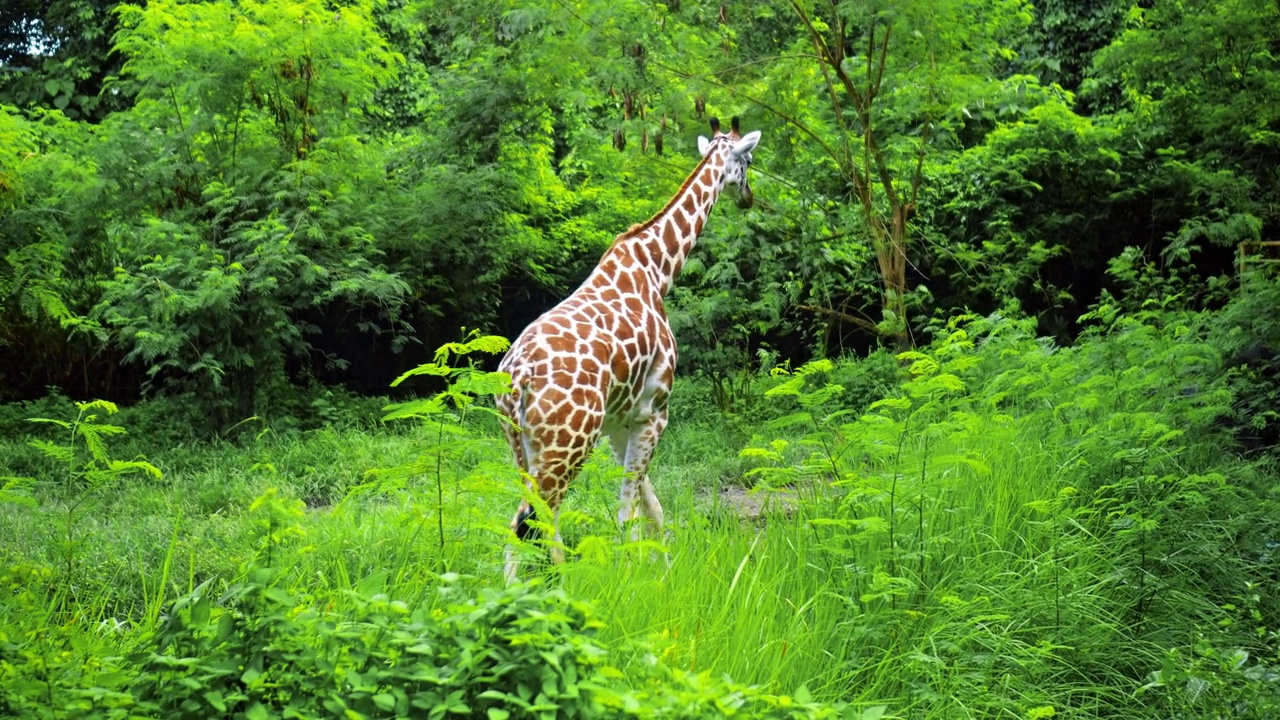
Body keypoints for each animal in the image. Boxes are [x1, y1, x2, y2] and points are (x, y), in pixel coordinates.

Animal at [496, 114, 757, 579]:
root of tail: (518, 377)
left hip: (521, 445)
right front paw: (637, 574)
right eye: (749, 160)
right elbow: (628, 511)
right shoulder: (655, 410)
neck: (657, 269)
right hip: (569, 443)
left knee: (535, 519)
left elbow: (651, 508)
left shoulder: (622, 421)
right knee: (529, 520)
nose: (748, 197)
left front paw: (663, 570)